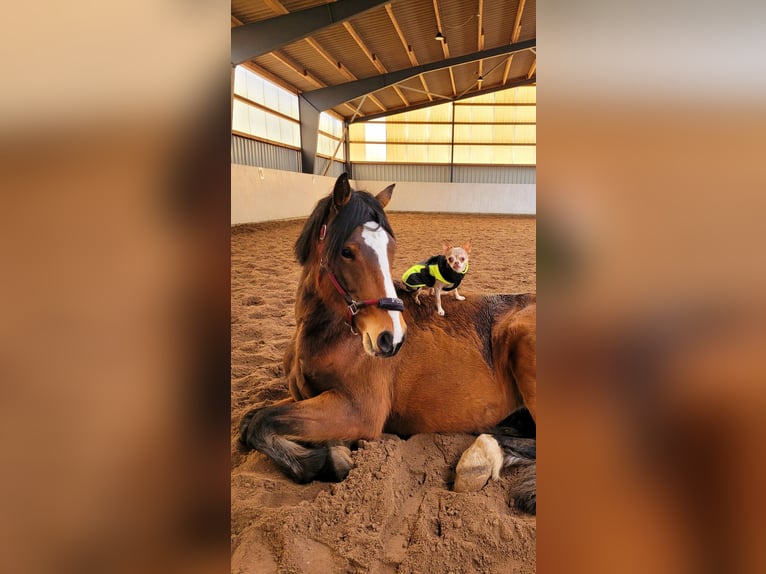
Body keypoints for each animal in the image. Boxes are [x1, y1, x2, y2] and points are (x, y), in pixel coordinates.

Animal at [239, 173, 537, 513]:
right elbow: (249, 423)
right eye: (347, 251)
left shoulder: (358, 411)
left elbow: (261, 423)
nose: (391, 338)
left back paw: (480, 460)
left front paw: (332, 459)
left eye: (391, 249)